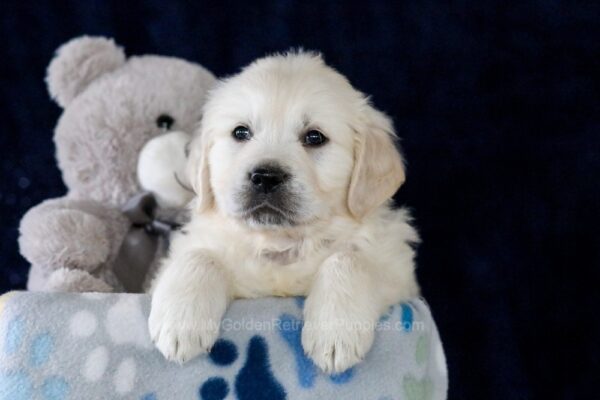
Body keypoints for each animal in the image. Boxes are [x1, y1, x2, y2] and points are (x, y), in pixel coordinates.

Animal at [148, 51, 420, 374]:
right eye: (241, 132)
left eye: (314, 137)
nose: (266, 177)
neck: (280, 245)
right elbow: (199, 256)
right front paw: (180, 324)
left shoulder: (399, 273)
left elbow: (347, 258)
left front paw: (335, 333)